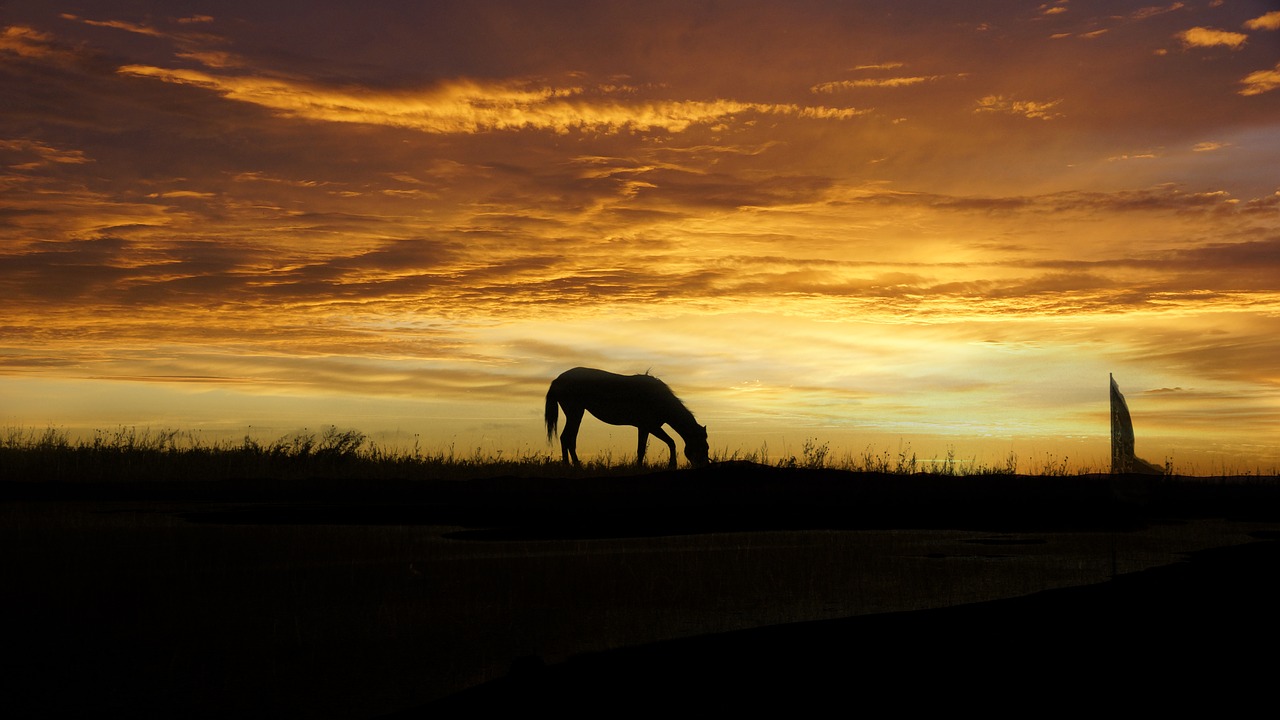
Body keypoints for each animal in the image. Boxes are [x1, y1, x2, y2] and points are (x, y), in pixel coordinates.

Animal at [545, 366, 716, 468]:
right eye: (704, 447)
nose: (704, 466)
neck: (658, 398)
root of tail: (558, 379)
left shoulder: (646, 427)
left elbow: (643, 449)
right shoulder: (650, 426)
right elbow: (666, 444)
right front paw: (670, 465)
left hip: (575, 413)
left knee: (568, 438)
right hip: (575, 413)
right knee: (567, 438)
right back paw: (572, 466)